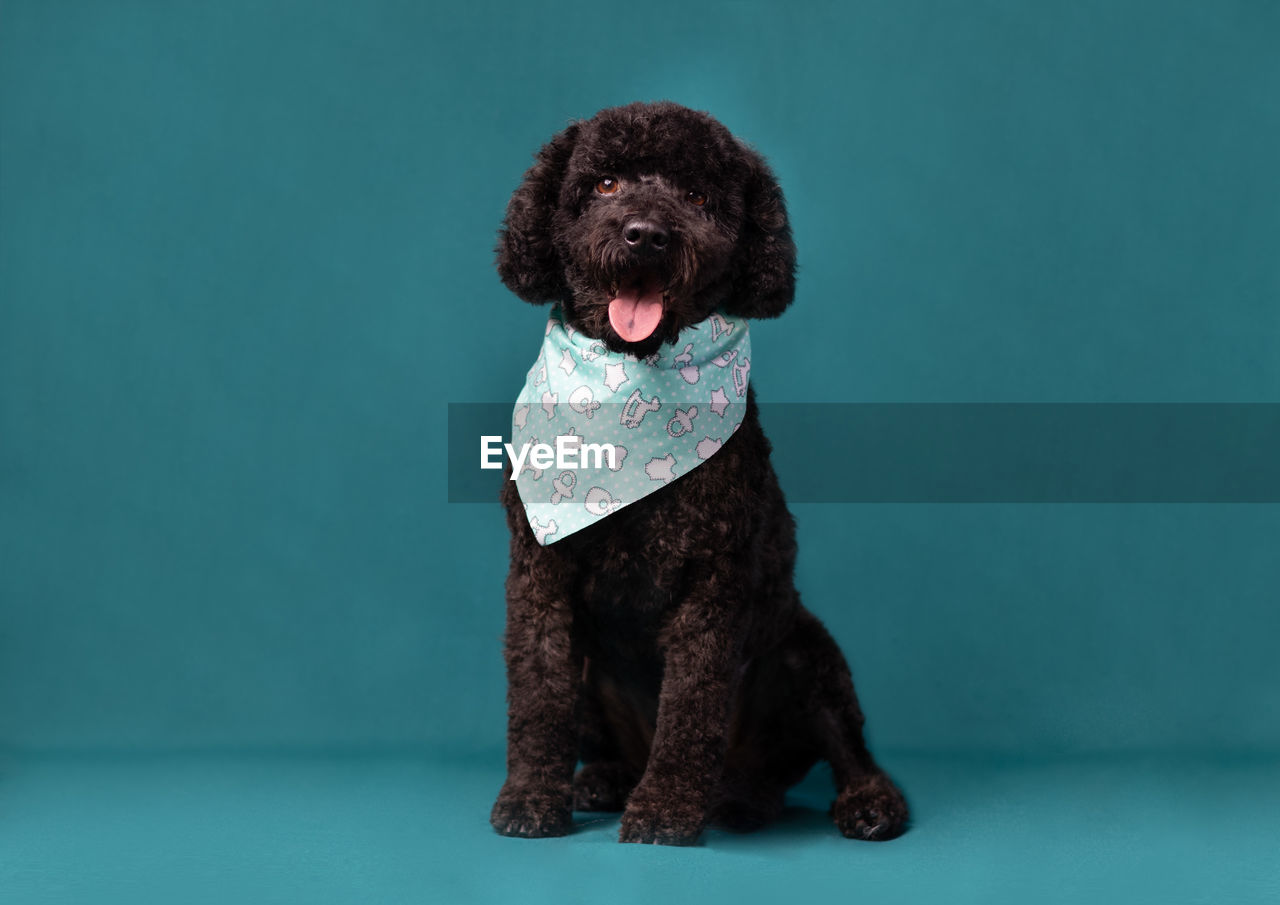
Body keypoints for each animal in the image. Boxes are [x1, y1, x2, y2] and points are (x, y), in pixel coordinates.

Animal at [488, 102, 911, 844]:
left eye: (697, 197)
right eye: (604, 183)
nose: (645, 235)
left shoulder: (713, 581)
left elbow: (690, 707)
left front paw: (665, 808)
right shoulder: (539, 574)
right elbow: (538, 691)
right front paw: (531, 796)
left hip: (805, 648)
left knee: (843, 745)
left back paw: (858, 799)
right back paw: (611, 779)